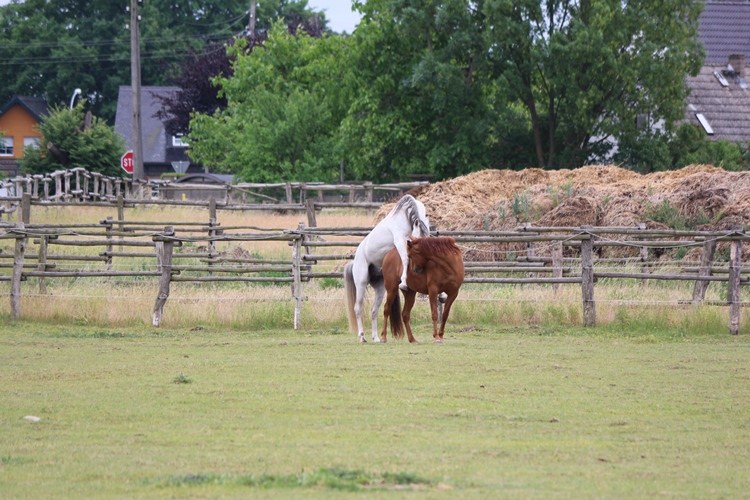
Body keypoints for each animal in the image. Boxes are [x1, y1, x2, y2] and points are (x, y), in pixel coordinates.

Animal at [346, 195, 428, 344]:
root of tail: (355, 259)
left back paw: (376, 338)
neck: (406, 216)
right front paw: (404, 283)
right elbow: (405, 259)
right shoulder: (400, 241)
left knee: (374, 310)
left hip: (380, 288)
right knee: (358, 308)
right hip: (361, 284)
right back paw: (362, 337)